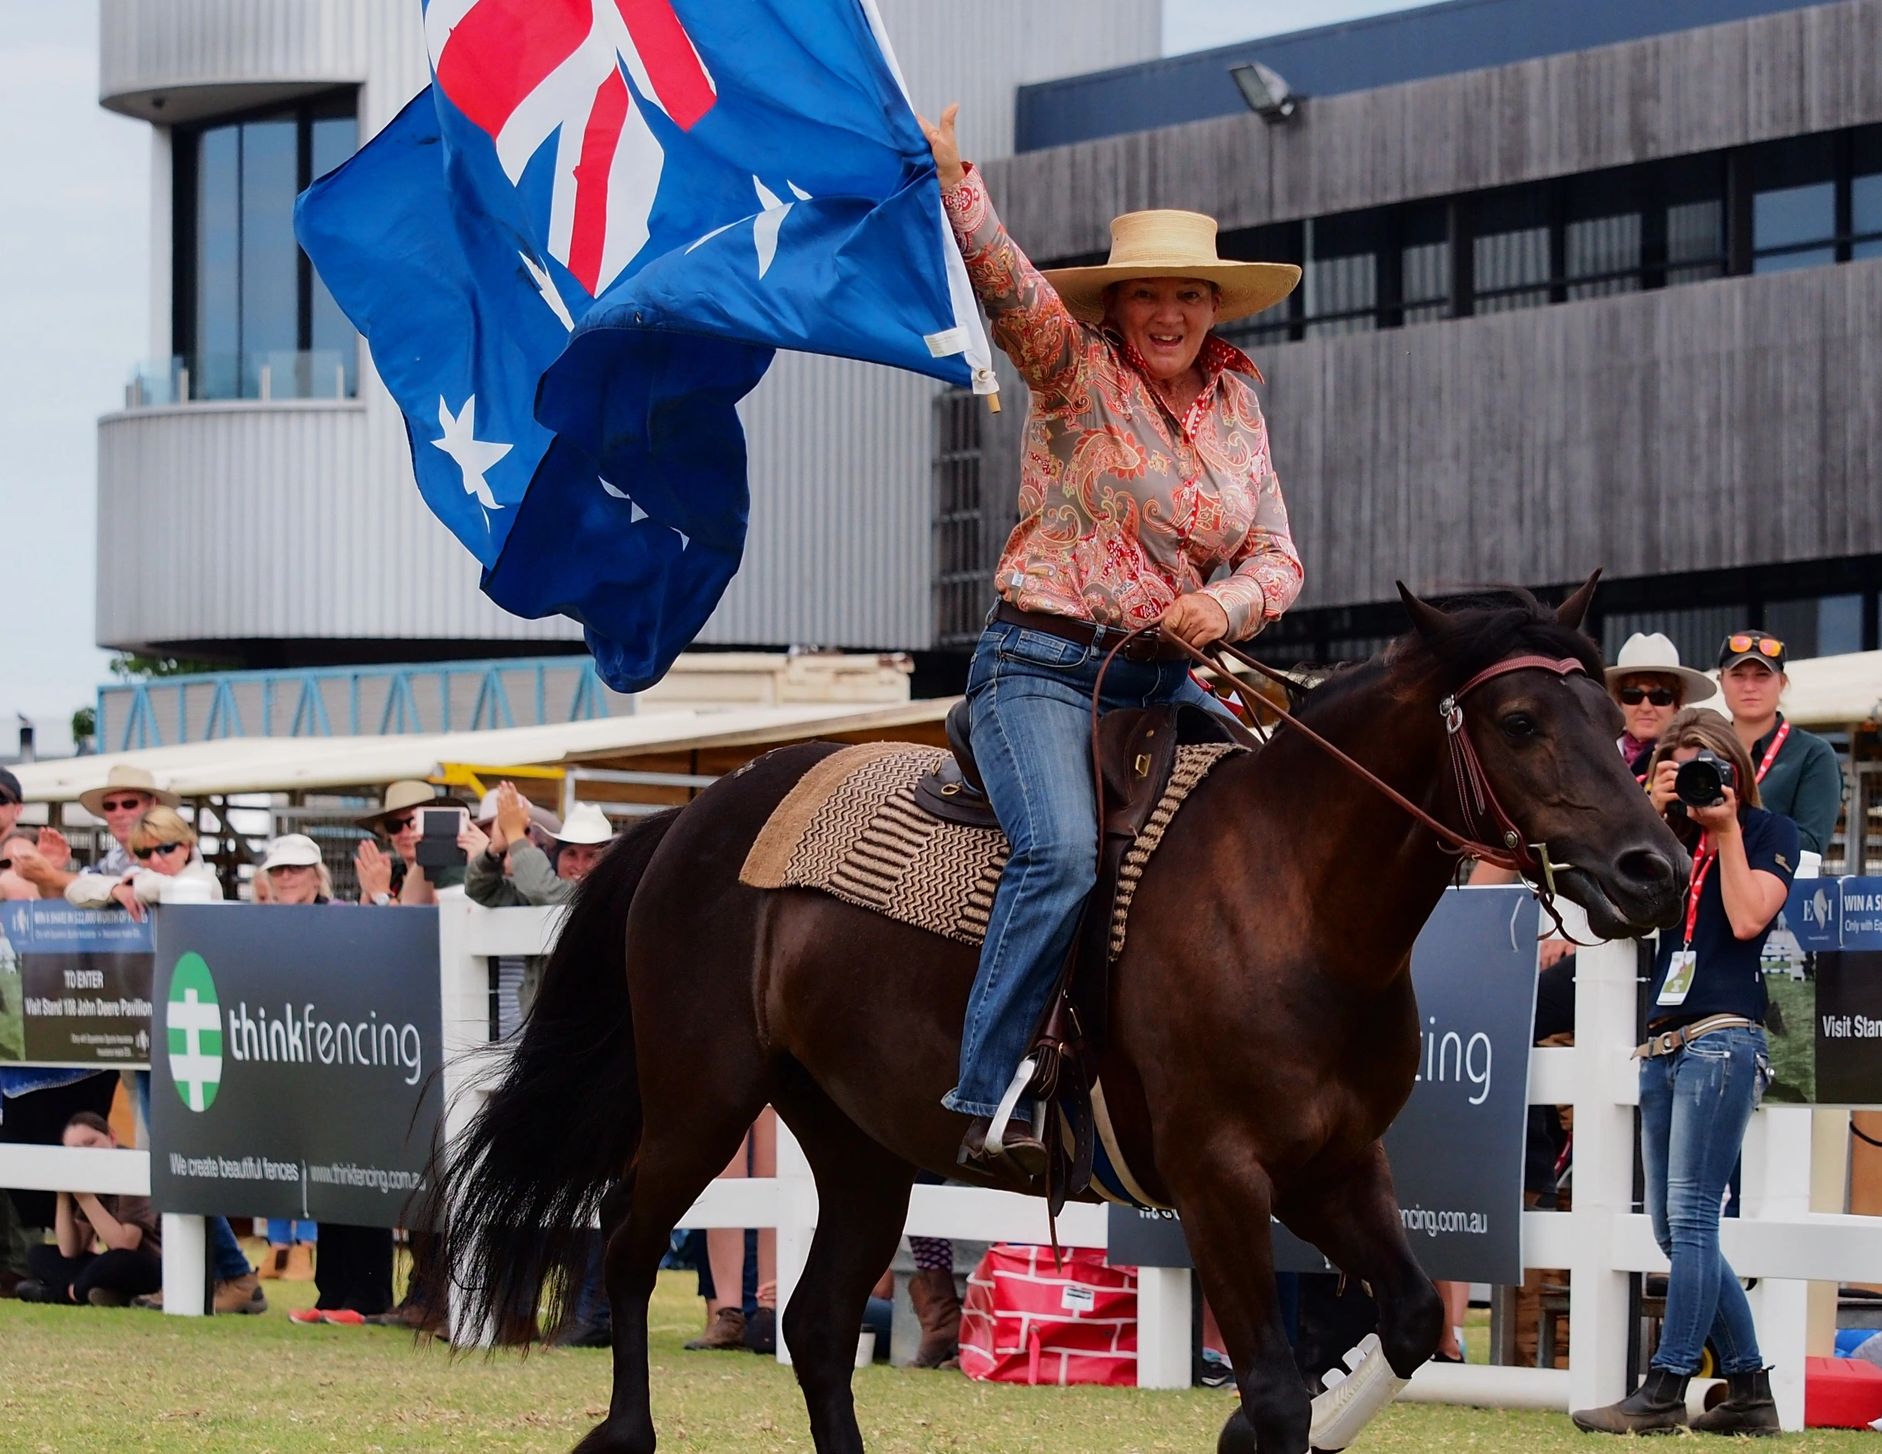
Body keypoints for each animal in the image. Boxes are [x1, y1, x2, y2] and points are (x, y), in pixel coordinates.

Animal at [436, 579, 1693, 1452]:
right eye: (1520, 718)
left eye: (1613, 719)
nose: (1653, 868)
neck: (1289, 894)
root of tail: (689, 819)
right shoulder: (1217, 1175)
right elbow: (1278, 1389)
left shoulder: (1334, 1165)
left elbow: (1407, 1316)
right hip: (701, 1097)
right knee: (627, 1239)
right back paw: (622, 1429)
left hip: (858, 1147)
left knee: (819, 1323)